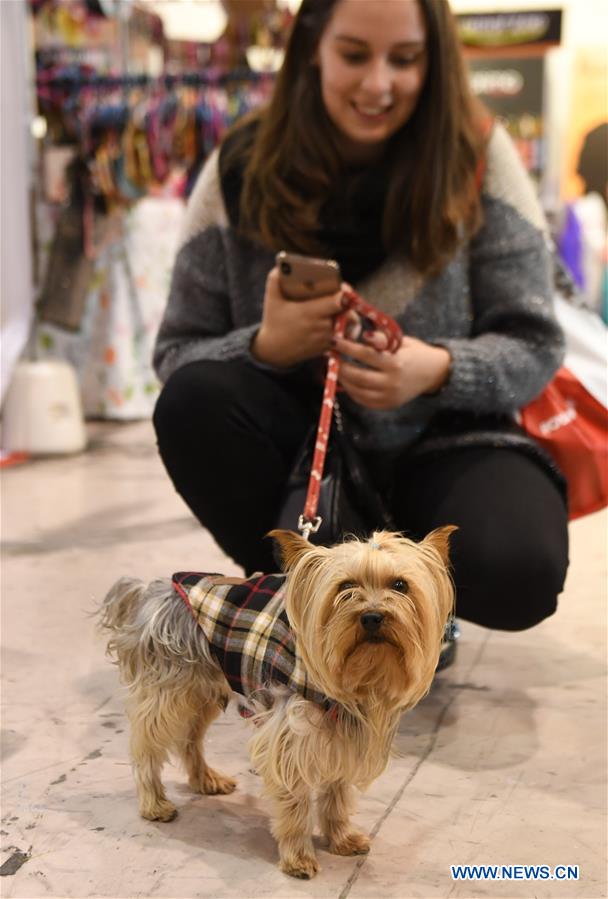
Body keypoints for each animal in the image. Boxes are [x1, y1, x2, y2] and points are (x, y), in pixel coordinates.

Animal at [97, 528, 454, 880]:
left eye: (400, 585)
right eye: (345, 587)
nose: (373, 616)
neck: (356, 680)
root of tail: (153, 590)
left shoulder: (341, 737)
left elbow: (337, 795)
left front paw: (340, 838)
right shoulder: (289, 739)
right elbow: (295, 802)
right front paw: (298, 856)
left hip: (204, 688)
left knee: (190, 739)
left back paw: (205, 779)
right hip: (170, 691)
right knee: (147, 746)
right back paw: (154, 803)